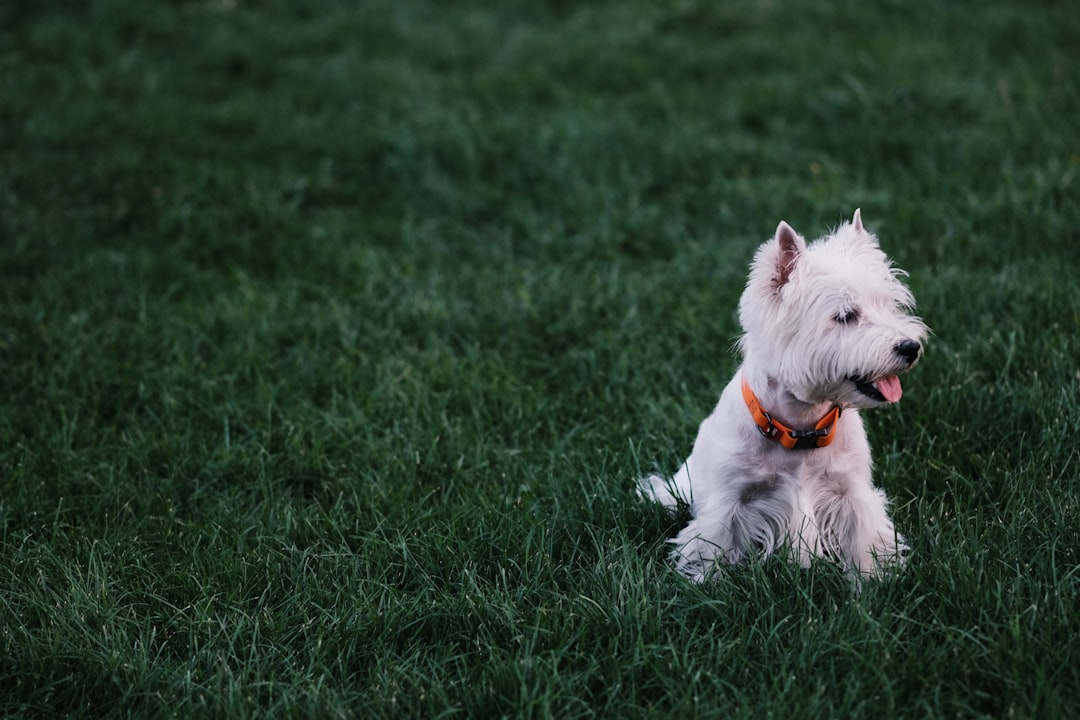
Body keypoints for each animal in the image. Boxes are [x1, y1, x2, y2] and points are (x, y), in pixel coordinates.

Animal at [639, 208, 928, 578]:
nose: (910, 347)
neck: (799, 427)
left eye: (889, 305)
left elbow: (863, 543)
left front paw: (871, 581)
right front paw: (703, 582)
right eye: (846, 316)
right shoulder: (729, 502)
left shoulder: (851, 492)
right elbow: (712, 545)